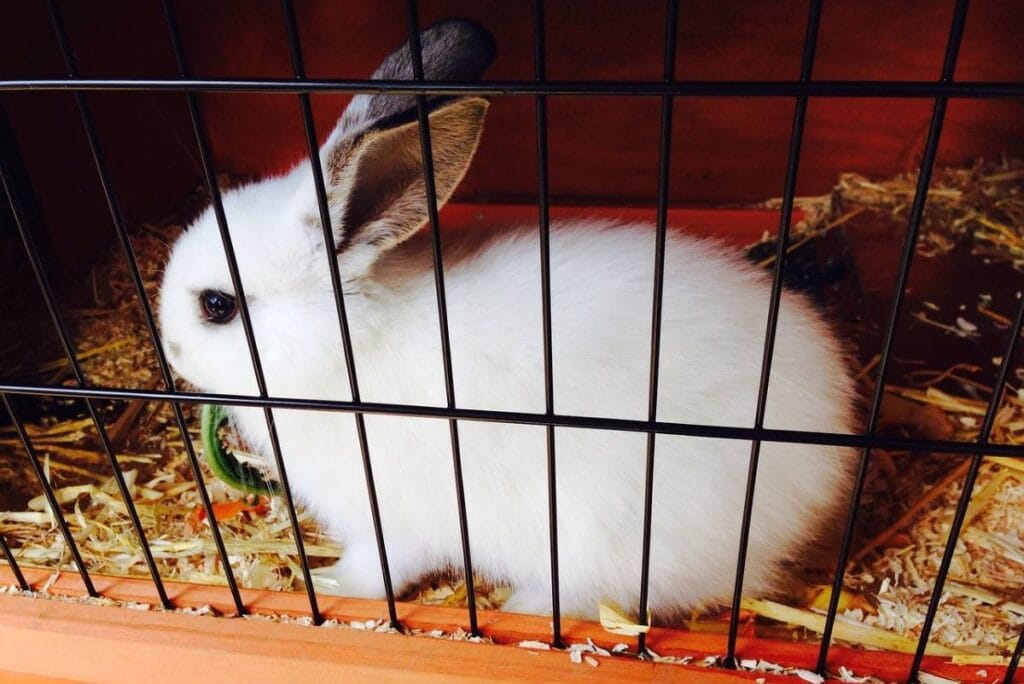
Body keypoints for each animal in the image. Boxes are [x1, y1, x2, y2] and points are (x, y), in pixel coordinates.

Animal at [159, 18, 857, 621]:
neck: (346, 350)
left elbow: (381, 567)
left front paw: (330, 585)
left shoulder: (393, 515)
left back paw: (521, 608)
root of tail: (828, 459)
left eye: (217, 306)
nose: (169, 347)